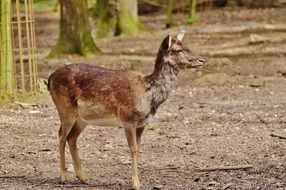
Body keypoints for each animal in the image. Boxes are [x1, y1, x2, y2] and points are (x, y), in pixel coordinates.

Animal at [48, 30, 206, 189]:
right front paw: (135, 183)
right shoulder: (127, 119)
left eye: (187, 45)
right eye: (178, 50)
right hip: (65, 109)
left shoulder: (142, 124)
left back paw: (82, 177)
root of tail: (50, 78)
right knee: (61, 135)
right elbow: (133, 148)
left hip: (82, 118)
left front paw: (136, 181)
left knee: (72, 138)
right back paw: (63, 177)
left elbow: (139, 148)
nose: (202, 60)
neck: (148, 96)